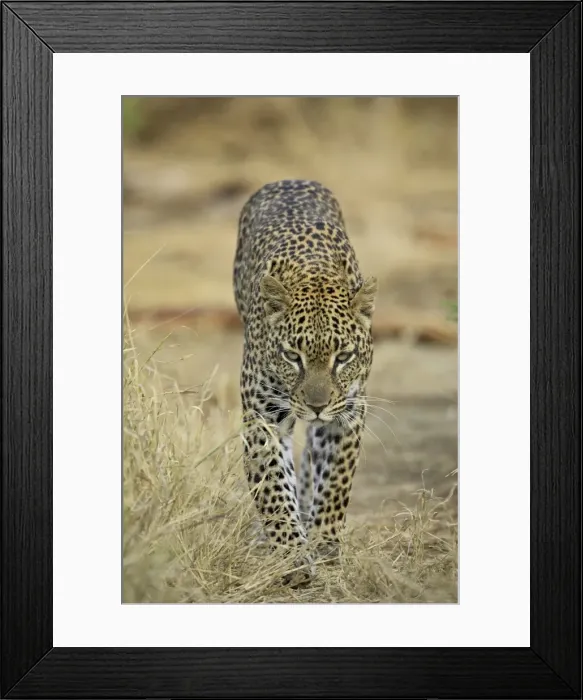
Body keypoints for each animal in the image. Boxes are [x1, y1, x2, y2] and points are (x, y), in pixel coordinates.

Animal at [233, 179, 377, 582]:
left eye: (342, 358)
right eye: (292, 356)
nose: (316, 405)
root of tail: (289, 180)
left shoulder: (348, 413)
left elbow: (335, 483)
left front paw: (324, 544)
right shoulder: (261, 418)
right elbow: (273, 490)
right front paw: (293, 556)